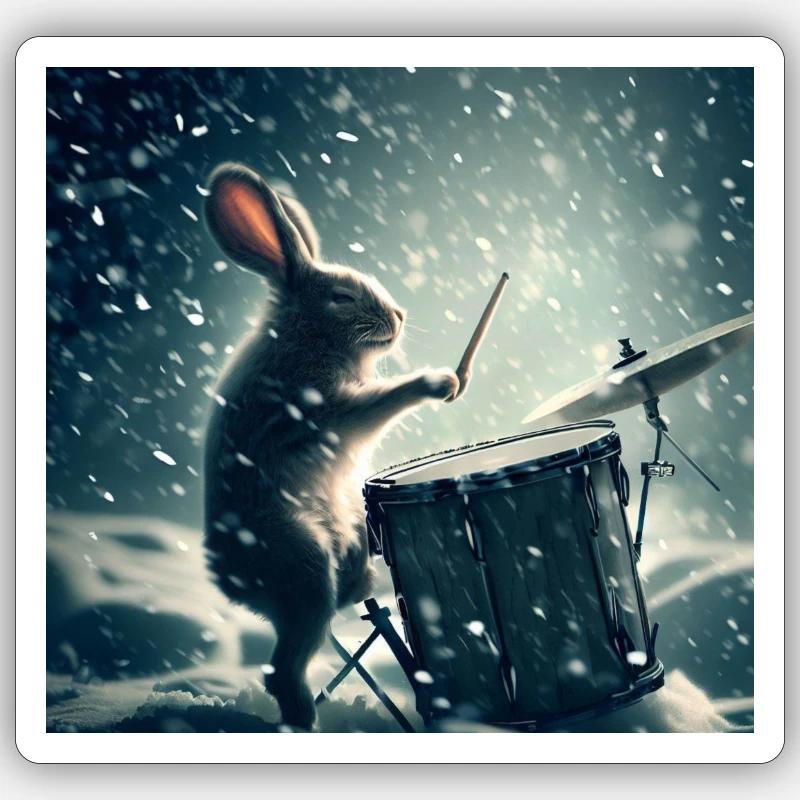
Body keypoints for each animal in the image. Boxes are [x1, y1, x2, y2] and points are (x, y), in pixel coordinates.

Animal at [202, 162, 463, 730]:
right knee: (284, 666)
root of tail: (226, 580)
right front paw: (437, 382)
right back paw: (304, 717)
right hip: (302, 566)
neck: (308, 336)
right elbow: (377, 404)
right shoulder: (321, 411)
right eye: (341, 298)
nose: (398, 316)